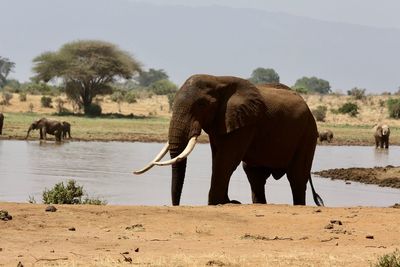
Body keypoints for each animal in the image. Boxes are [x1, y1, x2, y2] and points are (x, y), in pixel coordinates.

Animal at [136, 74, 324, 208]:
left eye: (201, 105)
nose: (176, 205)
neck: (217, 80)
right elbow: (218, 158)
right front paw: (228, 202)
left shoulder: (245, 122)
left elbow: (226, 160)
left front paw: (217, 203)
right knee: (254, 175)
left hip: (308, 133)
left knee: (296, 177)